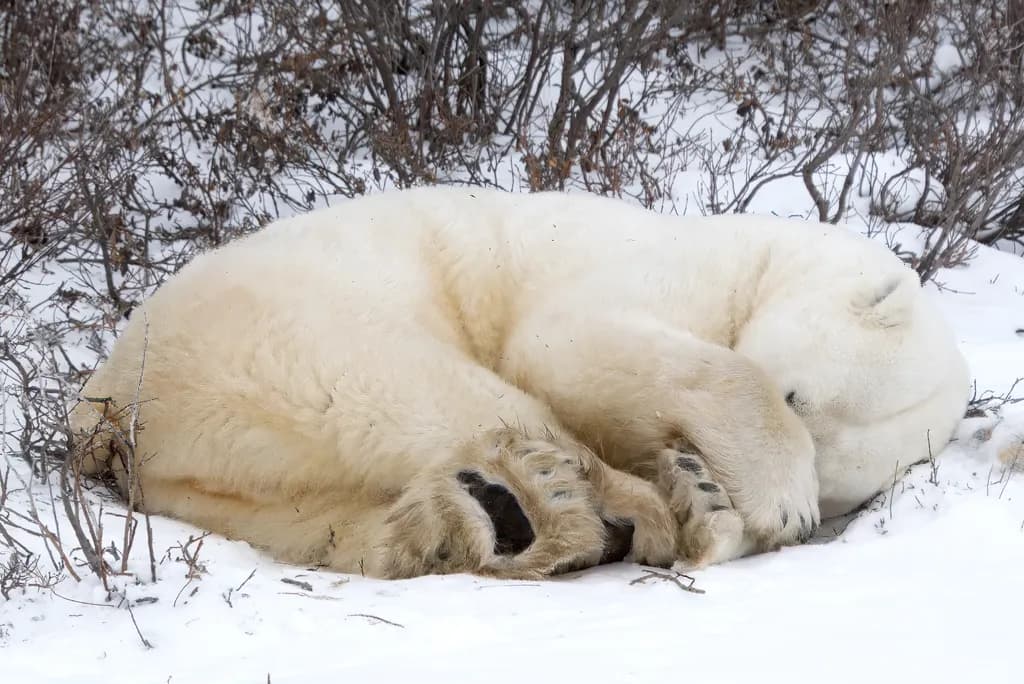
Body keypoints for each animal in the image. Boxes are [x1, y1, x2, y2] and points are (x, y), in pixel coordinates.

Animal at [69, 186, 971, 579]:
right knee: (425, 395)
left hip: (207, 446)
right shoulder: (650, 273)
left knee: (301, 507)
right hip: (293, 328)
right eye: (796, 400)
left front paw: (706, 489)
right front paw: (753, 500)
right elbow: (575, 347)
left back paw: (466, 528)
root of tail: (101, 404)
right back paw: (592, 507)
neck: (750, 255)